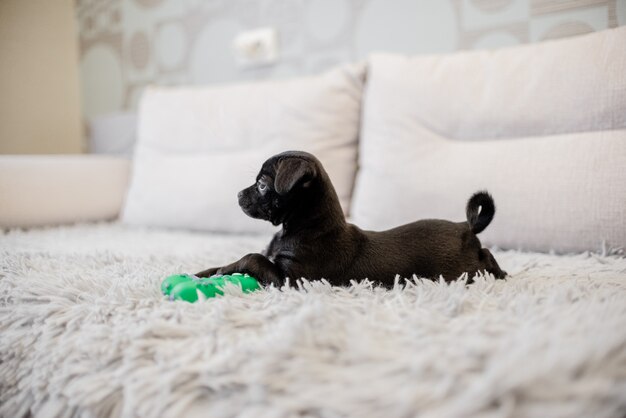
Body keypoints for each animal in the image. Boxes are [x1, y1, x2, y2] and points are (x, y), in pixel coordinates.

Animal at [197, 150, 504, 288]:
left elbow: (253, 258)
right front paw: (204, 272)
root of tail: (466, 227)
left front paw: (225, 270)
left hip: (461, 270)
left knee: (484, 258)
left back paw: (500, 273)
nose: (238, 194)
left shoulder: (291, 280)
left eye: (262, 185)